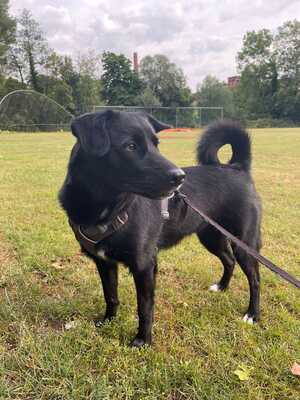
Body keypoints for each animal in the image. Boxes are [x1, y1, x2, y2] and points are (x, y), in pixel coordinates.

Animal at [58, 110, 260, 346]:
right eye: (130, 146)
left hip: (244, 242)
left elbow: (145, 307)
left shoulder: (145, 265)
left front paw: (142, 340)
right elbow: (111, 296)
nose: (180, 177)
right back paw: (222, 287)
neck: (108, 209)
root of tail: (237, 167)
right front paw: (108, 321)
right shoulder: (104, 262)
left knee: (255, 278)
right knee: (229, 260)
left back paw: (252, 314)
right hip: (212, 237)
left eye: (156, 144)